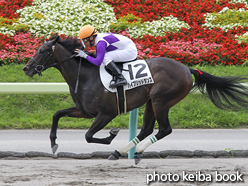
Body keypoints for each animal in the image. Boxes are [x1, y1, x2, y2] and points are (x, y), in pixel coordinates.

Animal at [23, 35, 248, 164]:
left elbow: (88, 136)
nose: (26, 68)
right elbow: (57, 114)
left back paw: (134, 150)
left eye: (42, 51)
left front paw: (111, 135)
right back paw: (122, 152)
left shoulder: (106, 113)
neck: (86, 76)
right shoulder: (84, 111)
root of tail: (187, 68)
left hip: (161, 100)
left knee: (165, 129)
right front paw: (53, 143)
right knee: (147, 129)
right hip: (150, 102)